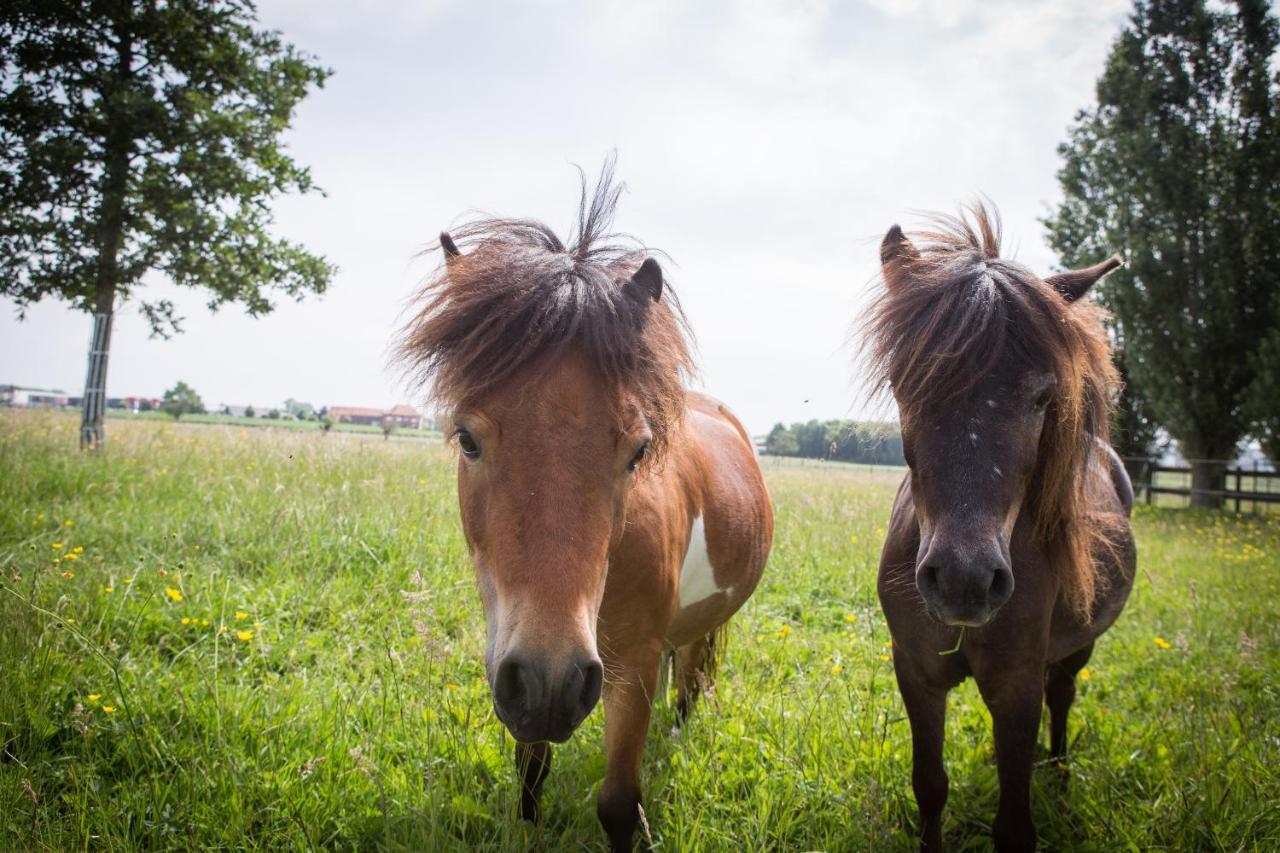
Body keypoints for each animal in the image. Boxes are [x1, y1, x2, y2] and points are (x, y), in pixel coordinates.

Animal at [394, 162, 768, 845]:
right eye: (466, 438)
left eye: (639, 450)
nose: (552, 683)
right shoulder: (513, 659)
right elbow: (530, 768)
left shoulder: (632, 665)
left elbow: (619, 802)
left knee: (690, 684)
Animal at [865, 206, 1136, 850]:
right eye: (906, 384)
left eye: (1042, 398)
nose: (964, 581)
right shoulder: (916, 672)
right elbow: (929, 786)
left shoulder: (1017, 684)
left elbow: (1014, 823)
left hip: (1077, 647)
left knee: (1063, 696)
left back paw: (1058, 772)